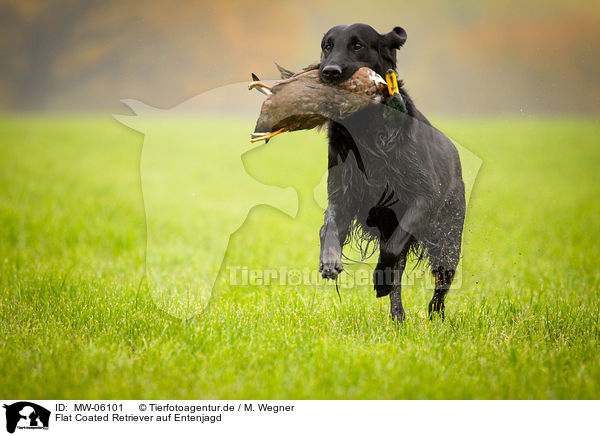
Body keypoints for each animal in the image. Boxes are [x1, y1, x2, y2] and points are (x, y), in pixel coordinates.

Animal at [316, 23, 466, 320]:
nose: (329, 72)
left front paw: (380, 278)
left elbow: (392, 248)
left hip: (448, 236)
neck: (366, 127)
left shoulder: (424, 198)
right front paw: (329, 261)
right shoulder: (342, 193)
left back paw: (435, 314)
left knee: (441, 280)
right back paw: (398, 317)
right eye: (328, 46)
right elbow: (329, 225)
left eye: (358, 45)